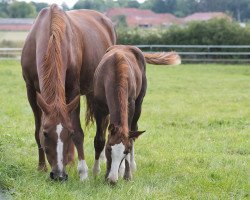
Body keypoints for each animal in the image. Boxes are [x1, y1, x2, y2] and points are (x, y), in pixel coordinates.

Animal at [21, 3, 115, 180]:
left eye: (68, 133)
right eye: (46, 133)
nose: (59, 175)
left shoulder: (72, 89)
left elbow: (77, 131)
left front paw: (83, 171)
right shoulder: (30, 91)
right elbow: (36, 130)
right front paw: (41, 166)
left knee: (104, 123)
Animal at [93, 44, 181, 184]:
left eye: (126, 151)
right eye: (108, 149)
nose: (112, 180)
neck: (114, 72)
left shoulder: (131, 106)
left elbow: (130, 135)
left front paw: (127, 174)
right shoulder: (98, 108)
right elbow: (99, 139)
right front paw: (96, 171)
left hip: (139, 104)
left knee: (134, 131)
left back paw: (129, 167)